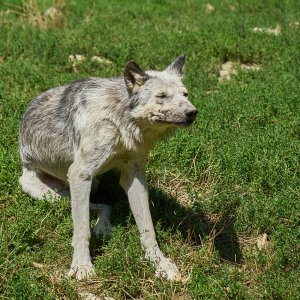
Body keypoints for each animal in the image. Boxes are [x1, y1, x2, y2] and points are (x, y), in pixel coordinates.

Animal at [19, 54, 199, 282]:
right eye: (162, 96)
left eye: (185, 94)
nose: (192, 112)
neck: (121, 121)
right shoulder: (80, 174)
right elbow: (81, 230)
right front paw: (82, 265)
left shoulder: (134, 176)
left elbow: (148, 229)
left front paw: (159, 263)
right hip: (47, 193)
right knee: (93, 209)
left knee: (105, 206)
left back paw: (103, 228)